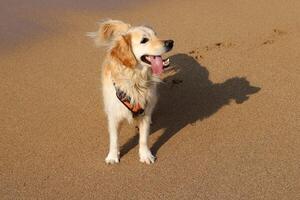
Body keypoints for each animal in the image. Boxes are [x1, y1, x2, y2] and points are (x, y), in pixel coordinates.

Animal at [87, 19, 173, 164]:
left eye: (156, 35)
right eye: (144, 40)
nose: (170, 42)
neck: (135, 80)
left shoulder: (144, 112)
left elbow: (143, 138)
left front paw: (145, 155)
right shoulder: (115, 115)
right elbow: (114, 139)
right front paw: (112, 156)